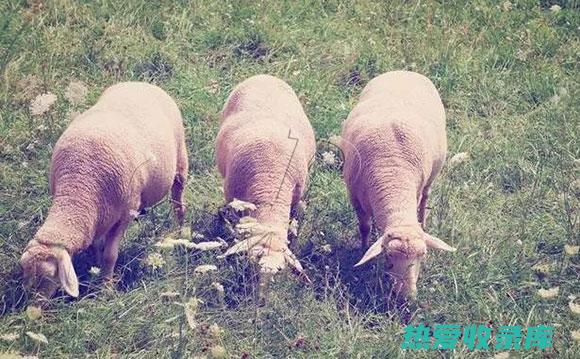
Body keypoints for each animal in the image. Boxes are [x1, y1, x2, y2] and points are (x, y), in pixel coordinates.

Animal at [19, 83, 188, 300]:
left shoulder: (125, 213)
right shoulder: (97, 216)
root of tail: (140, 83)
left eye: (49, 275)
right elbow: (97, 247)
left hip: (180, 161)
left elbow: (110, 255)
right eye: (25, 271)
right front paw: (97, 270)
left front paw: (106, 288)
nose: (34, 304)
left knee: (177, 202)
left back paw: (180, 230)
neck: (77, 189)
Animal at [340, 70, 458, 300]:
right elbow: (364, 227)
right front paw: (363, 249)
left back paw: (423, 220)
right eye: (389, 257)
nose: (407, 297)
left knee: (425, 198)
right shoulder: (355, 196)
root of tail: (404, 71)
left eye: (423, 255)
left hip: (432, 176)